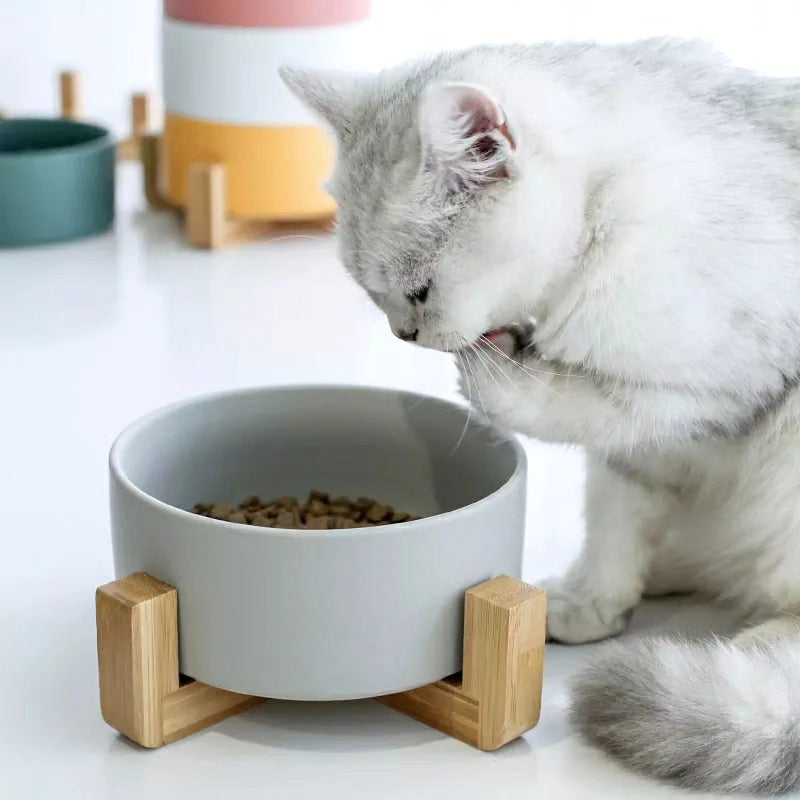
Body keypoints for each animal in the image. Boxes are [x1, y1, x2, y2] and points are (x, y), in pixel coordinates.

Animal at [282, 39, 800, 792]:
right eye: (371, 293)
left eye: (419, 291)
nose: (403, 336)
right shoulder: (639, 448)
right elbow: (616, 522)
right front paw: (592, 604)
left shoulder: (707, 390)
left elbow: (562, 406)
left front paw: (493, 373)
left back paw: (757, 640)